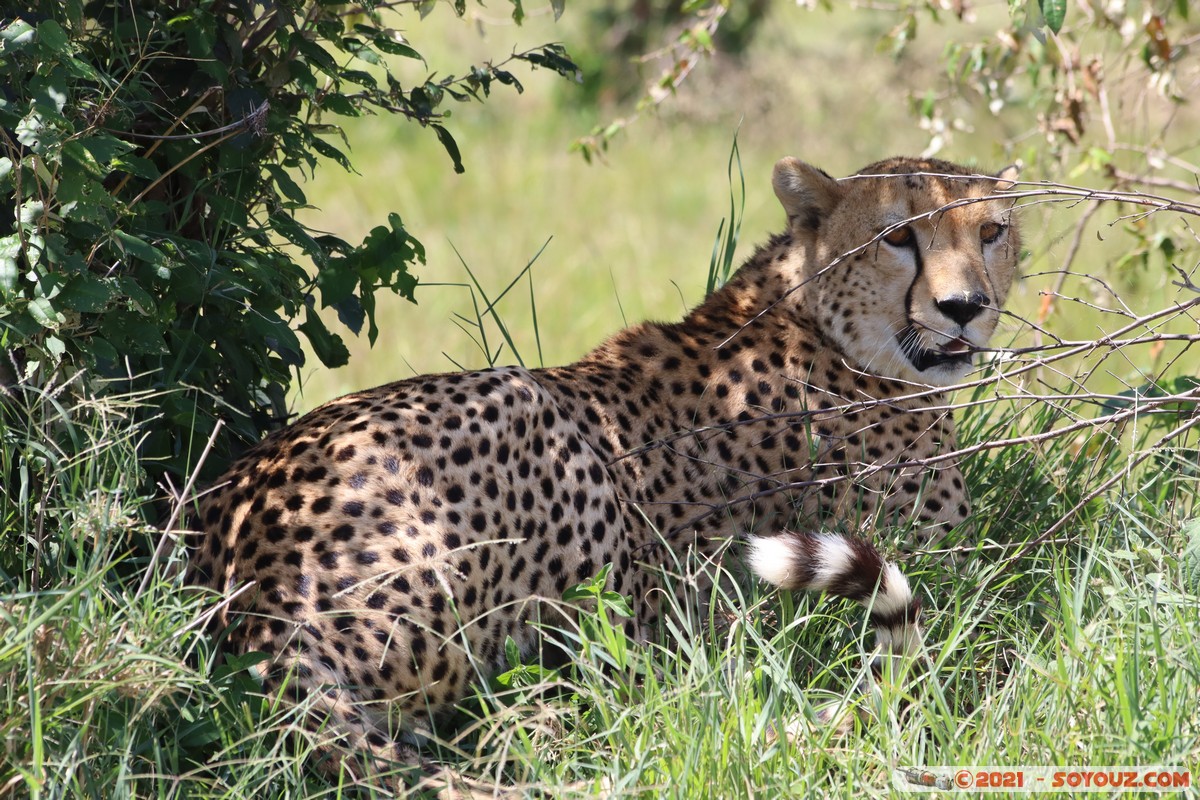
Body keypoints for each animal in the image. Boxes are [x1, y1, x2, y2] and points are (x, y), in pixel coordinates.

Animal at [189, 154, 1022, 777]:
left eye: (991, 230)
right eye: (899, 238)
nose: (965, 308)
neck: (814, 314)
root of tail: (259, 583)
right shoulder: (955, 571)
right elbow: (995, 634)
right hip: (537, 424)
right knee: (575, 694)